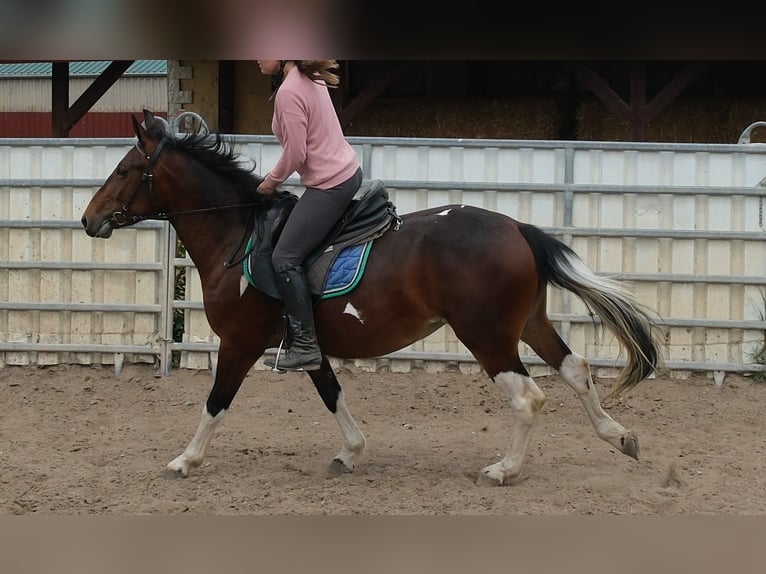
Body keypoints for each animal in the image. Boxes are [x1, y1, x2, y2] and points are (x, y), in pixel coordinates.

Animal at [81, 109, 662, 486]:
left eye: (124, 170)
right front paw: (349, 453)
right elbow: (332, 394)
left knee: (528, 396)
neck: (237, 236)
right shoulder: (304, 343)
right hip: (528, 324)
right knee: (575, 370)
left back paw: (505, 469)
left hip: (487, 335)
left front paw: (185, 460)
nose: (88, 219)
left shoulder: (240, 343)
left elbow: (216, 402)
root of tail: (517, 227)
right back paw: (621, 437)